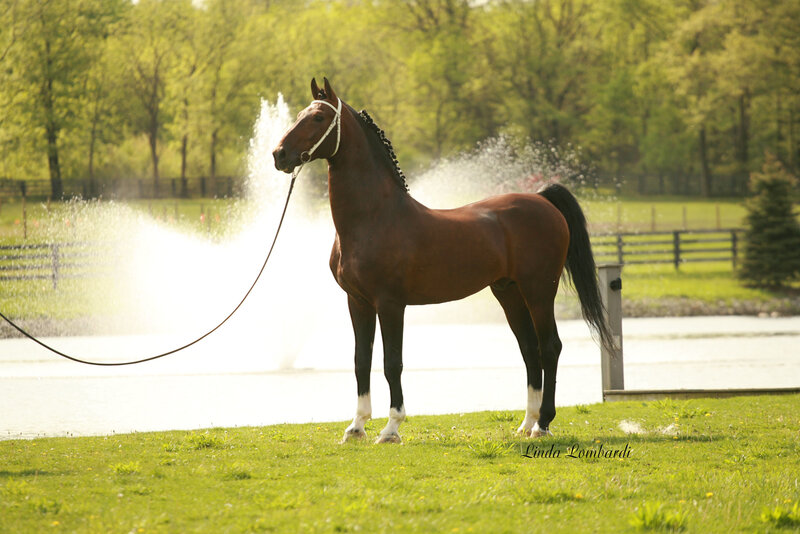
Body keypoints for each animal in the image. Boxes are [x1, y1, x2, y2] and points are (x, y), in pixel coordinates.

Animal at [273, 78, 613, 444]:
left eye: (318, 118)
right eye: (301, 113)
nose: (279, 154)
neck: (375, 217)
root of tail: (541, 200)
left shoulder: (390, 303)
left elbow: (392, 362)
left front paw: (391, 429)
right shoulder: (358, 302)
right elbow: (361, 361)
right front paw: (356, 427)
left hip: (539, 290)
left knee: (550, 347)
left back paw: (543, 424)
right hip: (509, 293)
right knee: (530, 350)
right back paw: (526, 423)